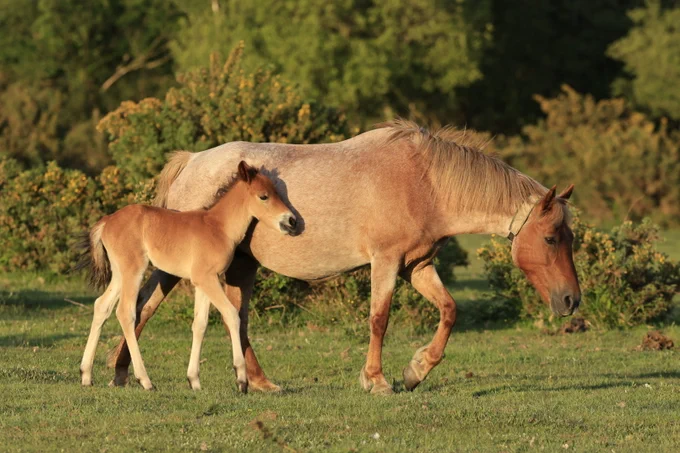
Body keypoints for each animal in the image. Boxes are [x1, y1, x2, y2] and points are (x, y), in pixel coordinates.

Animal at [78, 161, 297, 392]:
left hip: (119, 272)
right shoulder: (207, 278)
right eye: (264, 196)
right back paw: (145, 380)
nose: (291, 221)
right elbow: (231, 314)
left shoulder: (203, 282)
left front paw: (194, 380)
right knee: (125, 312)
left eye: (278, 193)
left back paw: (86, 375)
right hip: (133, 269)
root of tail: (107, 220)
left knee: (102, 306)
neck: (219, 227)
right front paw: (241, 379)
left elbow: (200, 324)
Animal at [107, 119, 581, 394]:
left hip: (241, 266)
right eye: (552, 238)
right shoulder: (386, 262)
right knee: (142, 306)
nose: (571, 300)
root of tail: (190, 162)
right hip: (179, 268)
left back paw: (256, 382)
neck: (424, 181)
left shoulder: (417, 267)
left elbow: (449, 311)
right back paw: (123, 371)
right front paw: (377, 380)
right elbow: (379, 319)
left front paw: (416, 370)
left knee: (233, 319)